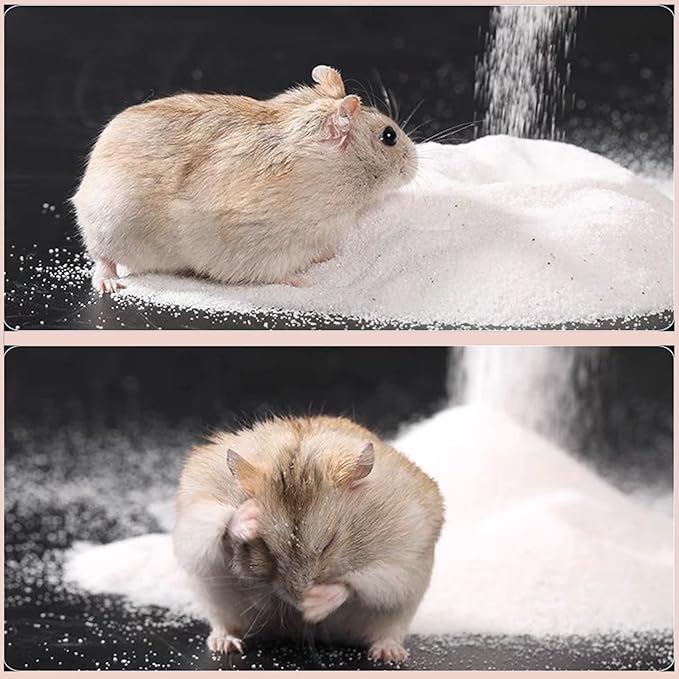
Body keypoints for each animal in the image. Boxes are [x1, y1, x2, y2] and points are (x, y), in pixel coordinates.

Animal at [71, 65, 418, 293]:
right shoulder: (254, 239)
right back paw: (109, 283)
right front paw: (302, 280)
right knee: (102, 258)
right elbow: (276, 270)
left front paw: (327, 255)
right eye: (389, 136)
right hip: (109, 225)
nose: (415, 163)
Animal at [173, 415, 444, 664]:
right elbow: (216, 526)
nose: (299, 604)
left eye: (329, 544)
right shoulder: (194, 519)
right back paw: (225, 643)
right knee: (224, 625)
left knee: (387, 632)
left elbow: (353, 584)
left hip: (400, 610)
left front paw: (314, 605)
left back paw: (388, 654)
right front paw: (251, 515)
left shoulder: (400, 558)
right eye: (267, 549)